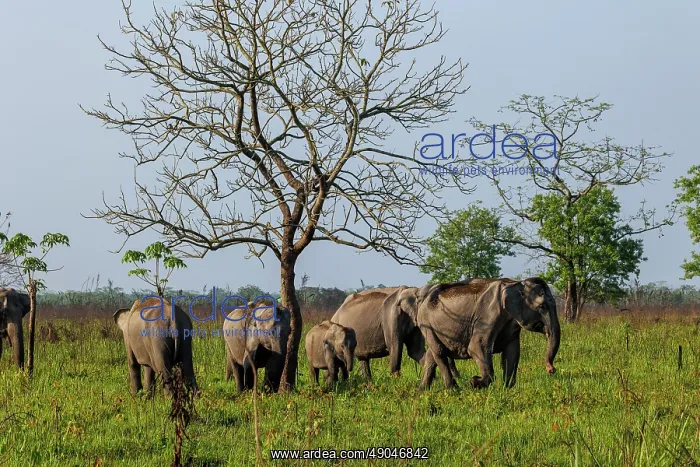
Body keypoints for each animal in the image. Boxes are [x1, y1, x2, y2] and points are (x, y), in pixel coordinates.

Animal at [417, 277, 560, 390]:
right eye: (542, 307)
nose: (551, 369)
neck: (517, 284)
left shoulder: (511, 323)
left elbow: (512, 351)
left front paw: (506, 388)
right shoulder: (487, 316)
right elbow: (476, 347)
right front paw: (473, 382)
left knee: (432, 354)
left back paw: (422, 390)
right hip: (426, 323)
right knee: (440, 352)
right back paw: (454, 390)